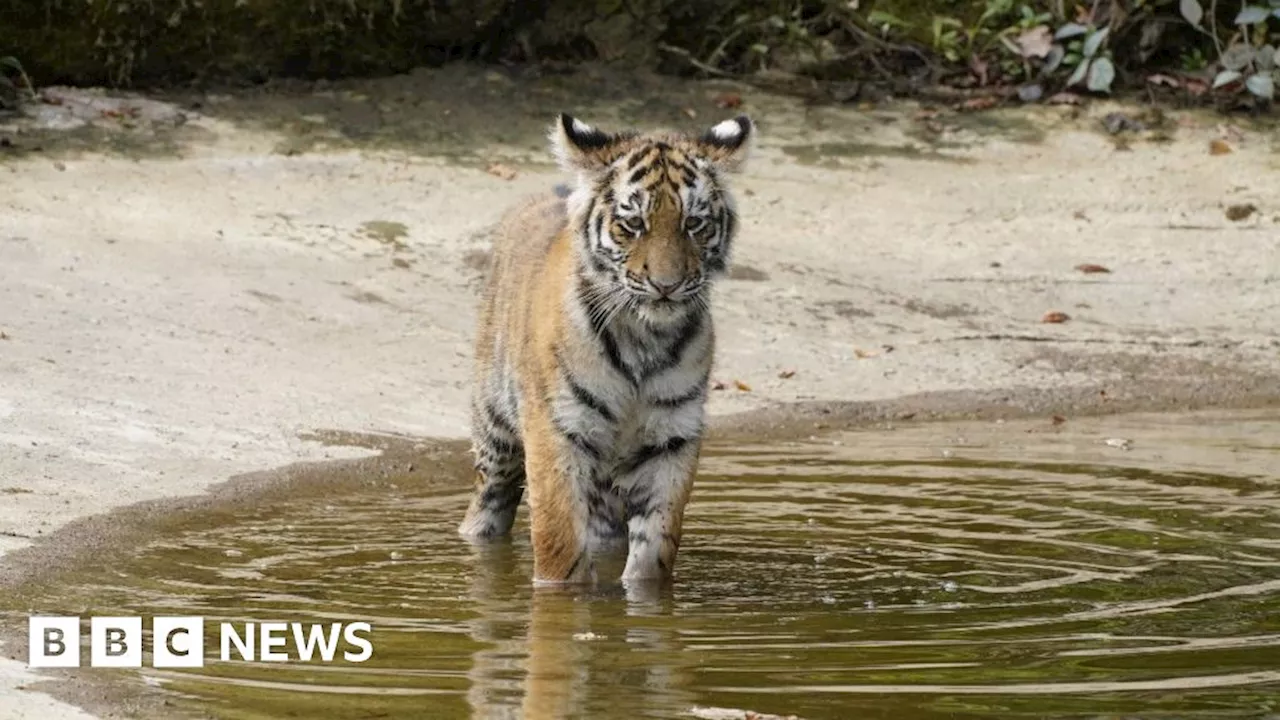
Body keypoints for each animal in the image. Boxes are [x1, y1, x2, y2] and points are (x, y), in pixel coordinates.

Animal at [460, 112, 752, 584]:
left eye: (694, 223)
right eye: (632, 224)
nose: (666, 285)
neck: (643, 338)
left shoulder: (671, 437)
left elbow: (655, 548)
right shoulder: (558, 430)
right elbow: (560, 541)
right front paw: (558, 594)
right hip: (495, 432)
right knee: (489, 504)